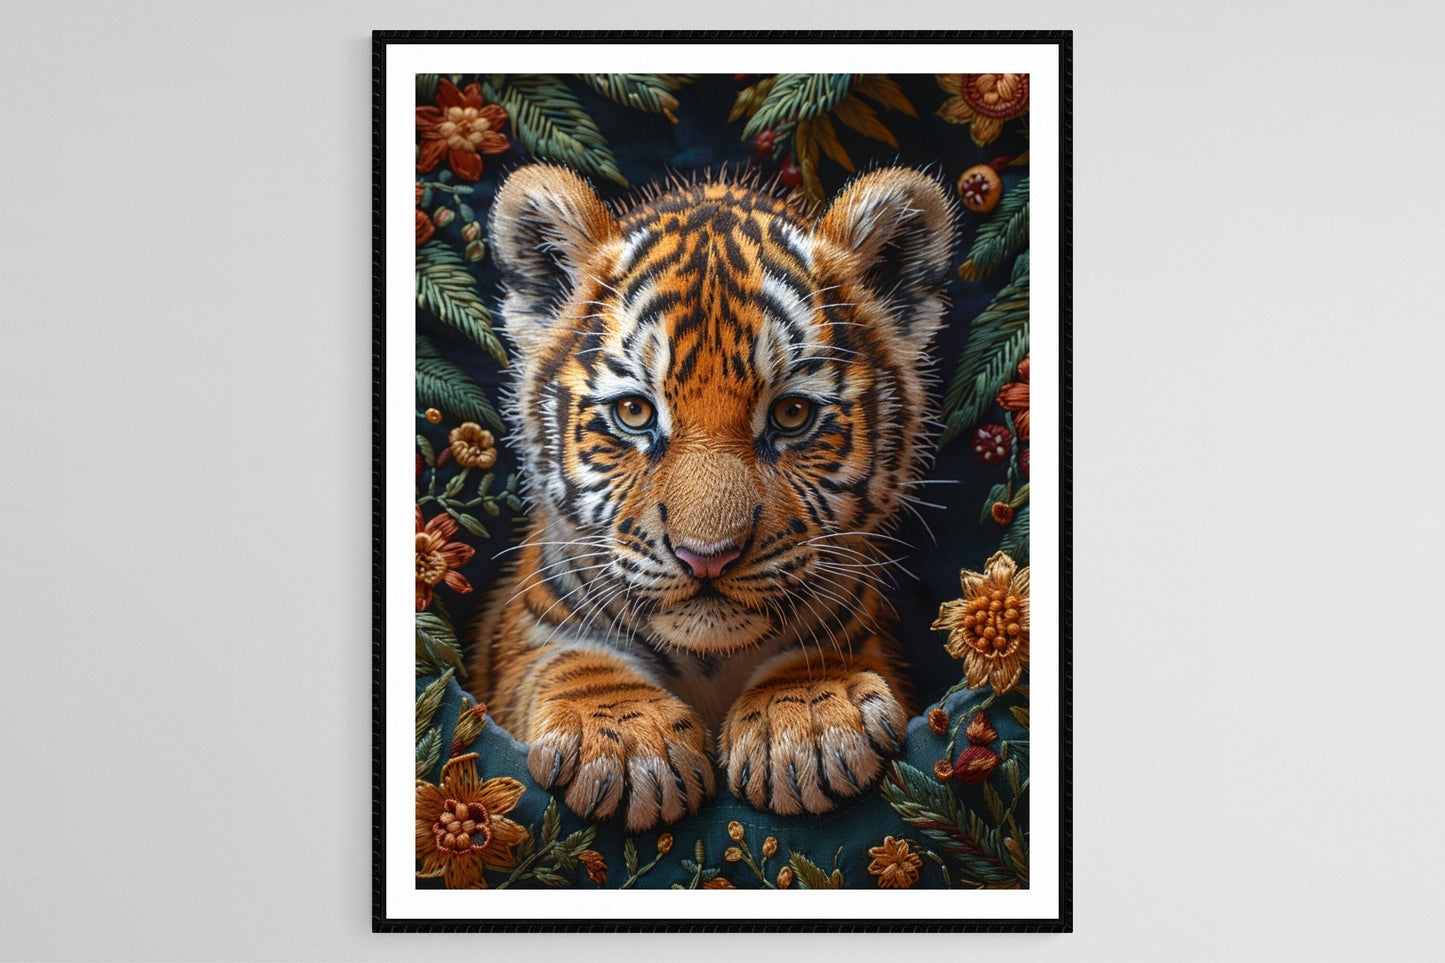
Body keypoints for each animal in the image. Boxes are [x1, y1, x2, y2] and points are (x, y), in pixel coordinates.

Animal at [465, 162, 956, 832]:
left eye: (792, 414)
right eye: (635, 412)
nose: (706, 558)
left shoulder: (865, 634)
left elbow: (828, 654)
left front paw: (810, 717)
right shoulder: (527, 638)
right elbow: (566, 662)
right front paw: (625, 743)